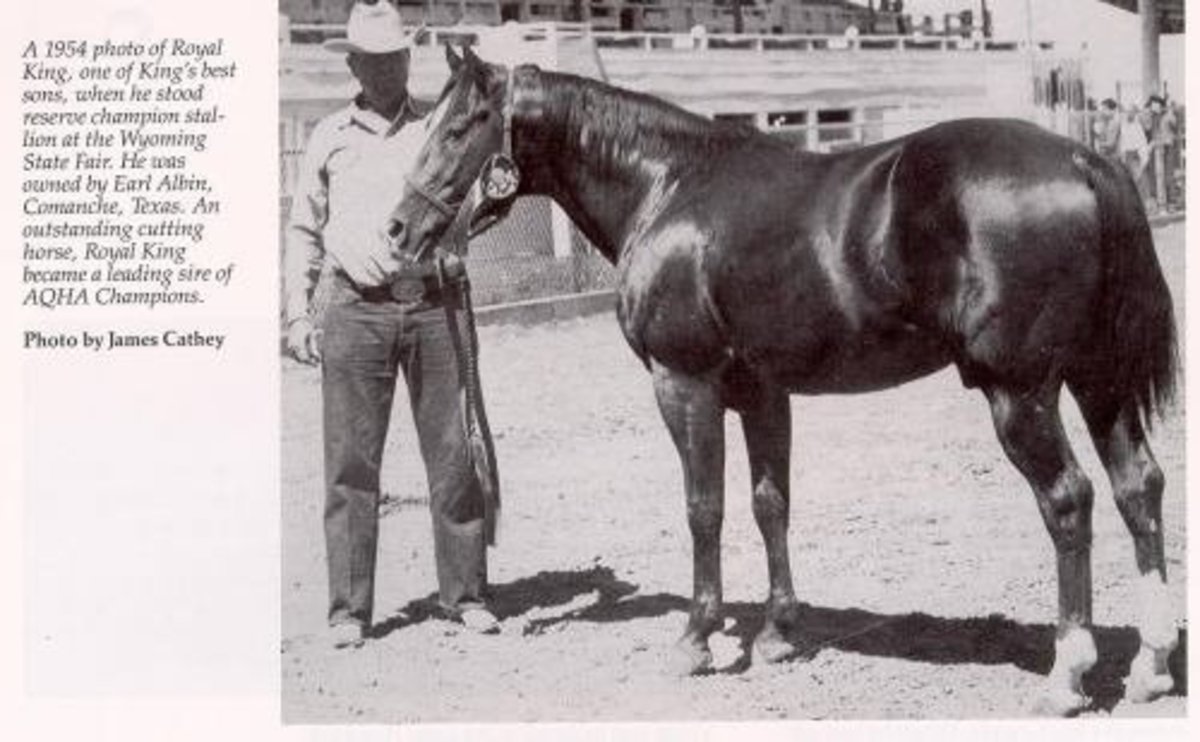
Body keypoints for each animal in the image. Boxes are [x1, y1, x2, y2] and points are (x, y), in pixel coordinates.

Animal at [387, 45, 1179, 715]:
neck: (666, 187)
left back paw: (1068, 673)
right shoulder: (762, 392)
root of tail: (1082, 159)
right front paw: (777, 634)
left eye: (459, 127)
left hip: (1019, 393)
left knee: (1068, 500)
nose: (397, 230)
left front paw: (696, 638)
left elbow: (703, 507)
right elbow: (771, 503)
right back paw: (1152, 663)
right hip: (1097, 380)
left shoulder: (685, 383)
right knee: (1138, 485)